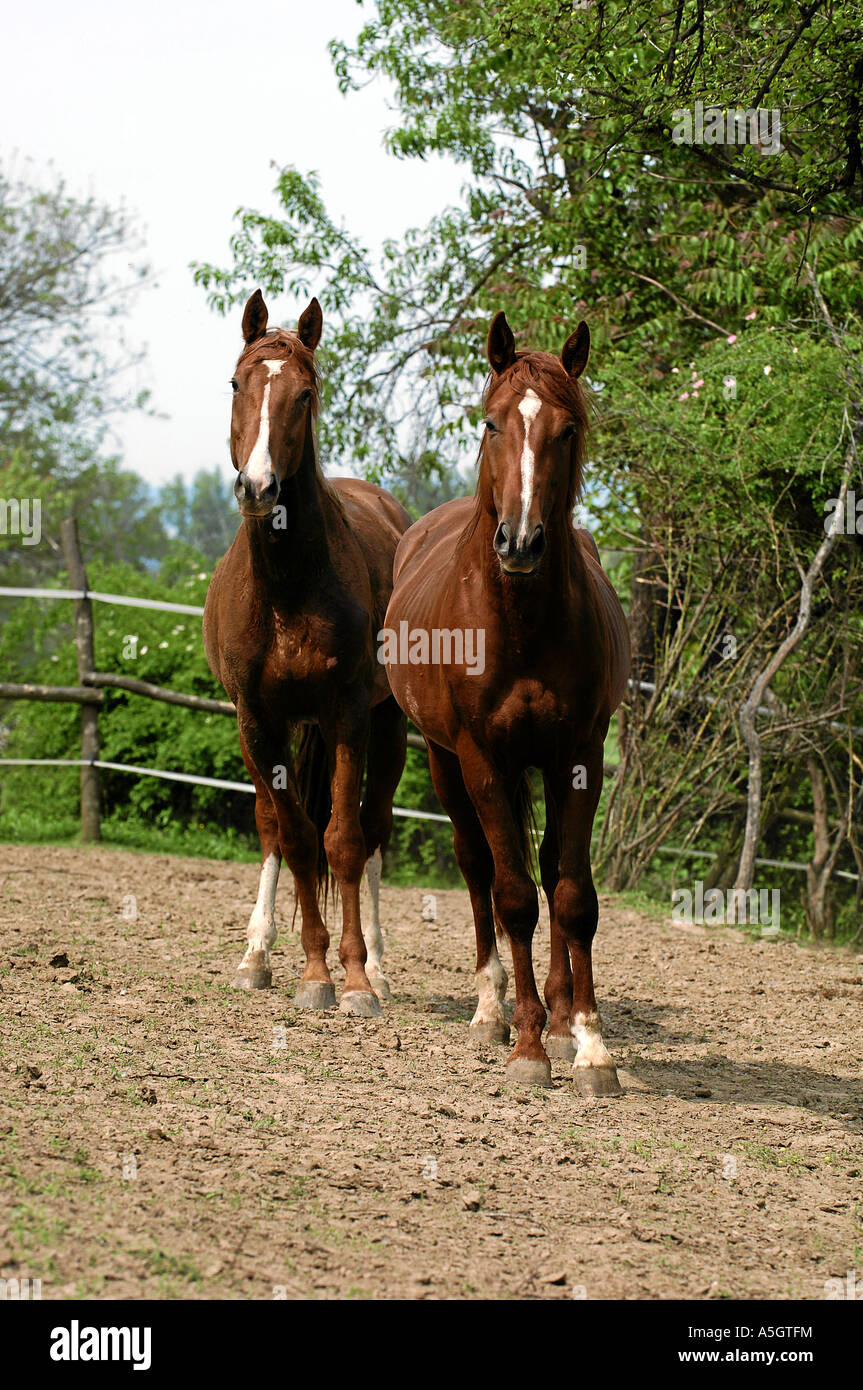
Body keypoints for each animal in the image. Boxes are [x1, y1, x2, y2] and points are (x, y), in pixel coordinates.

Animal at [207, 287, 411, 1017]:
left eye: (305, 392)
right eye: (237, 383)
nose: (258, 487)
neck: (289, 589)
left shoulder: (347, 715)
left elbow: (343, 841)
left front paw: (351, 980)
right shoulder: (256, 721)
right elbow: (292, 836)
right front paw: (310, 969)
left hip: (389, 727)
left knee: (374, 831)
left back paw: (378, 965)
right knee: (274, 827)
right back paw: (257, 956)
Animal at [380, 309, 628, 1089]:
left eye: (567, 429)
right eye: (492, 423)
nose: (520, 542)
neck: (518, 621)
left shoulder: (578, 754)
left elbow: (572, 895)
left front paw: (588, 1043)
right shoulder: (481, 756)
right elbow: (512, 894)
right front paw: (525, 1048)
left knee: (549, 870)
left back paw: (558, 1009)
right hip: (441, 761)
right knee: (479, 868)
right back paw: (493, 1012)